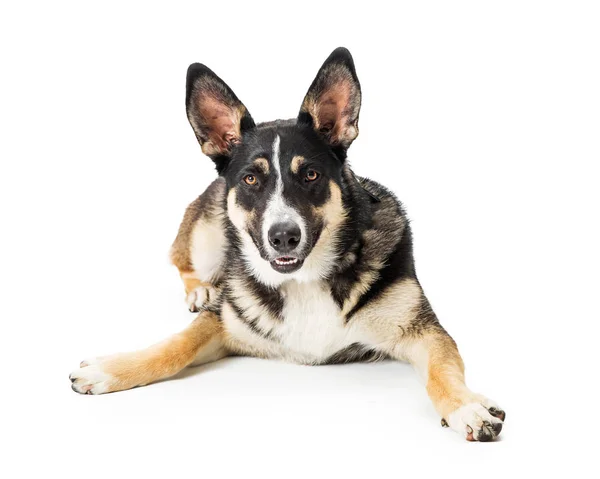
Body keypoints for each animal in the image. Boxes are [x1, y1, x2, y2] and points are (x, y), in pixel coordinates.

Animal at [71, 47, 506, 442]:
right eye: (250, 179)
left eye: (310, 174)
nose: (283, 236)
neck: (305, 280)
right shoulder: (223, 322)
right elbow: (175, 345)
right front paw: (111, 369)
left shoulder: (423, 332)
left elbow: (442, 369)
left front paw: (467, 406)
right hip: (206, 233)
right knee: (184, 264)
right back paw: (200, 290)